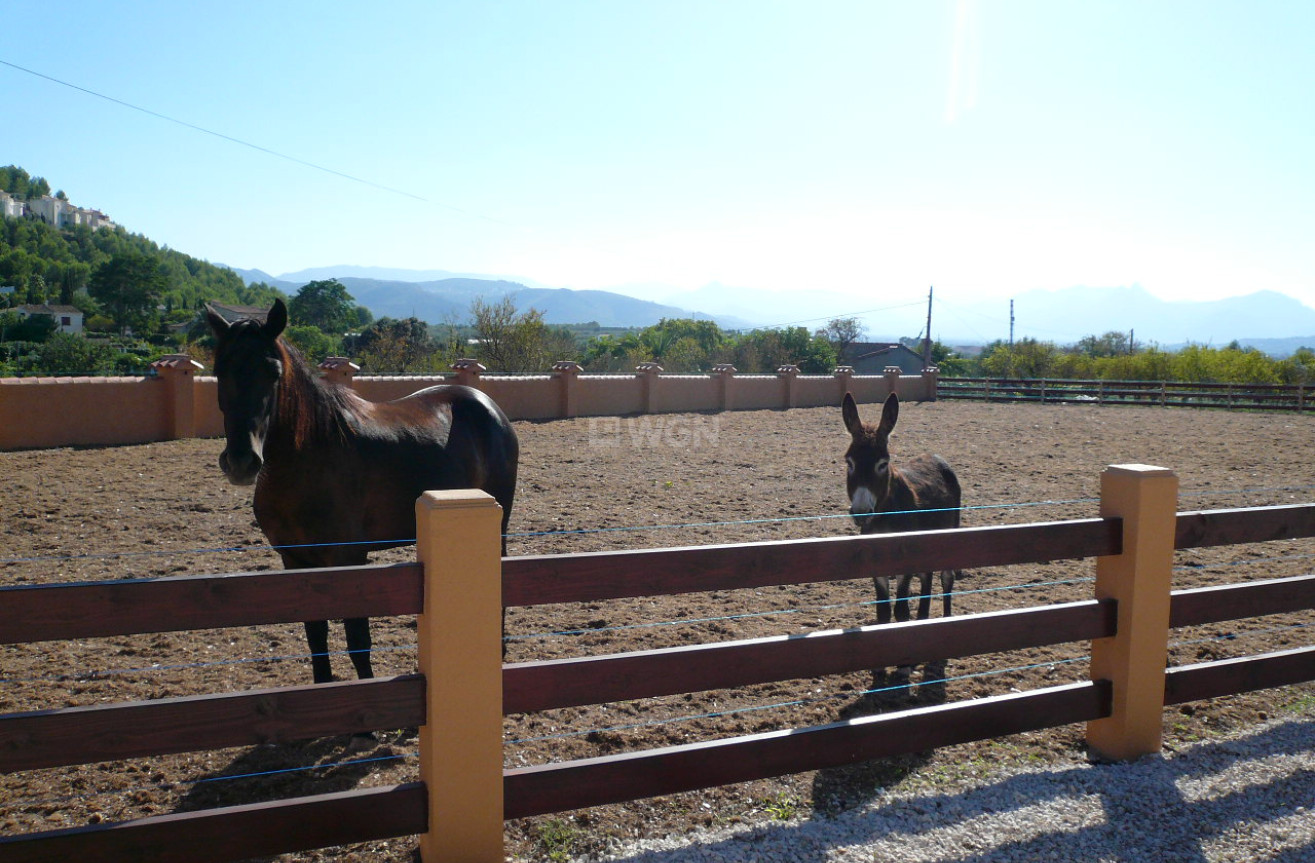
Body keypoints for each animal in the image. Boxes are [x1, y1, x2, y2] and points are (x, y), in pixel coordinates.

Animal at [206, 301, 518, 689]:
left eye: (272, 371)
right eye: (220, 369)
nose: (241, 461)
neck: (309, 458)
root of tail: (487, 405)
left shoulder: (349, 558)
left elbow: (357, 640)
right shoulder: (295, 561)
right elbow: (316, 635)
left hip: (499, 525)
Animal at [846, 392, 962, 634]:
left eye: (883, 463)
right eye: (849, 462)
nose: (861, 512)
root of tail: (934, 456)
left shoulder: (905, 561)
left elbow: (901, 612)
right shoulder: (877, 566)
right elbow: (883, 613)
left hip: (950, 533)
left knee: (946, 577)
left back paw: (946, 617)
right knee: (927, 577)